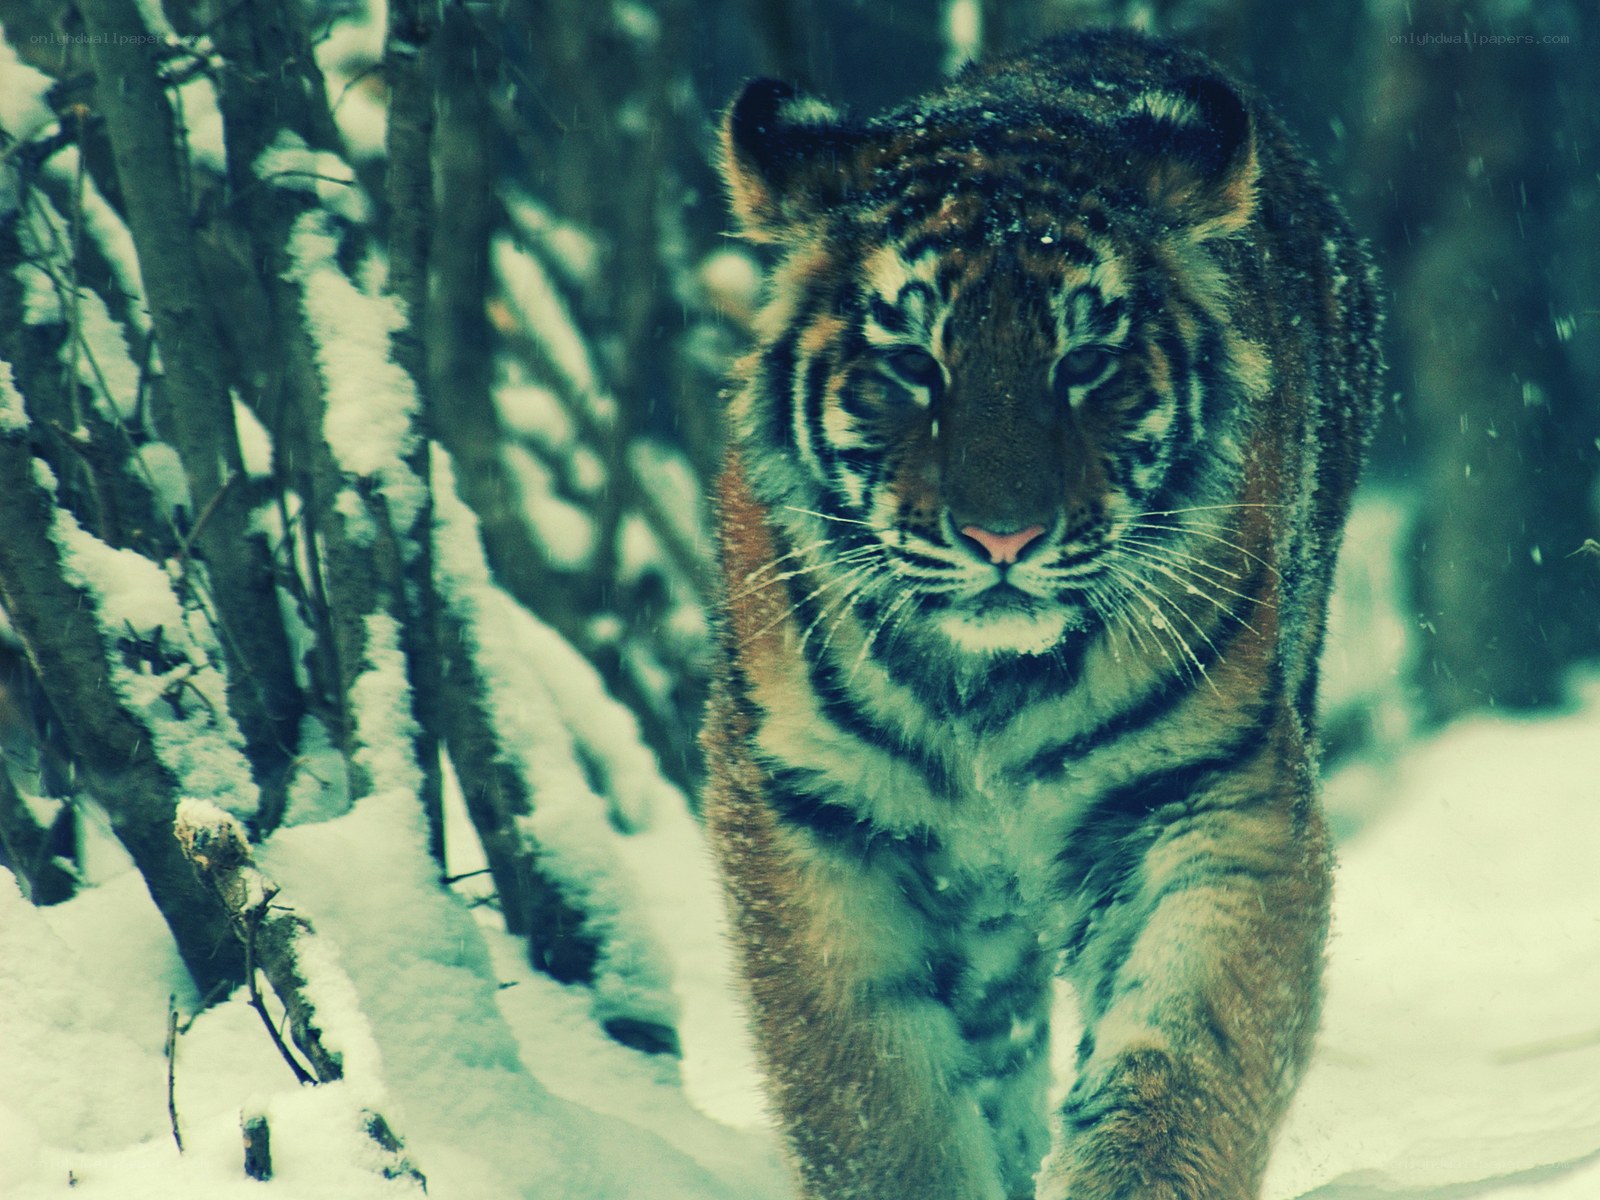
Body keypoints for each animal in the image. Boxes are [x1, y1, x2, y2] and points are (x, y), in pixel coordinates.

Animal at [700, 27, 1382, 1200]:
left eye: (1087, 364)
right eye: (911, 363)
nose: (1003, 539)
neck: (988, 687)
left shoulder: (1209, 797)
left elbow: (1181, 1064)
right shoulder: (815, 810)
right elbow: (874, 1102)